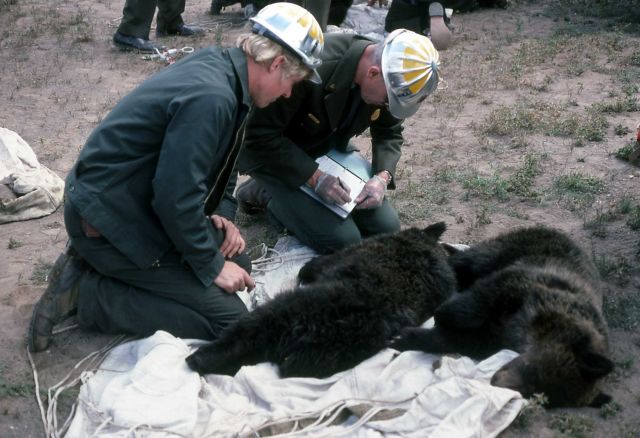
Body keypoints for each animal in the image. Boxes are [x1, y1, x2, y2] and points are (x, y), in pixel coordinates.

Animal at [186, 222, 456, 378]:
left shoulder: (351, 252)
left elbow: (324, 261)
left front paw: (307, 268)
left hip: (278, 316)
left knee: (240, 340)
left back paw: (198, 358)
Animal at [390, 226, 614, 408]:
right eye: (535, 371)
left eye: (540, 397)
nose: (497, 381)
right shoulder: (522, 290)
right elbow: (476, 302)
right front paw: (441, 314)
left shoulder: (493, 337)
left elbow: (455, 340)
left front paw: (406, 337)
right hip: (507, 250)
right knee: (465, 262)